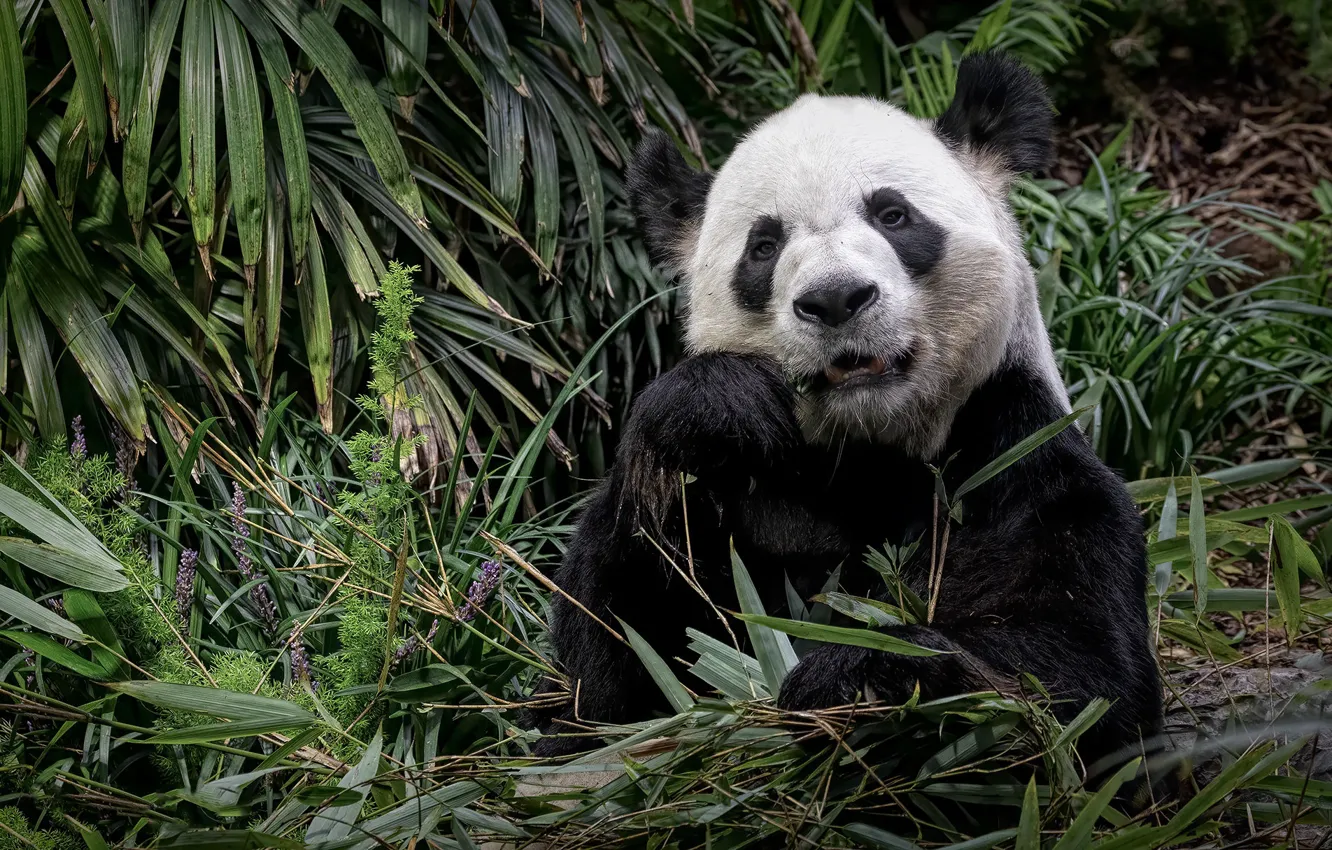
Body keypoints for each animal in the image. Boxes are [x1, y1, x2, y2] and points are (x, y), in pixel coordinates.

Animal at [533, 52, 1162, 770]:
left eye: (892, 214)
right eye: (763, 246)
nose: (835, 298)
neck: (869, 448)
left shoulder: (1012, 453)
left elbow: (1081, 681)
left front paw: (858, 675)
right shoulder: (755, 500)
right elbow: (622, 665)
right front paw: (713, 405)